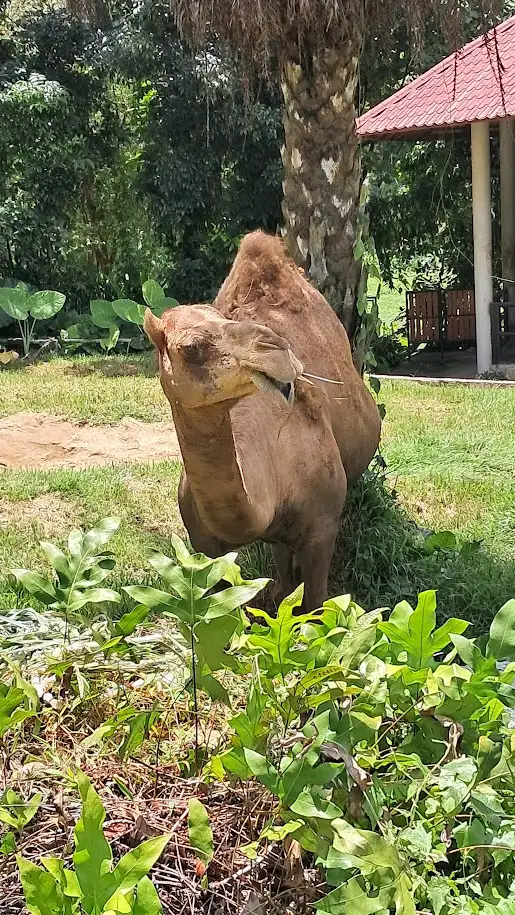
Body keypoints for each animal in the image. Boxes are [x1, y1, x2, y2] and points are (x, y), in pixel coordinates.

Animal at [144, 231, 381, 610]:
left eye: (223, 317)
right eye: (192, 347)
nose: (277, 347)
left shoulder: (322, 528)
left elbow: (316, 606)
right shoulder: (203, 546)